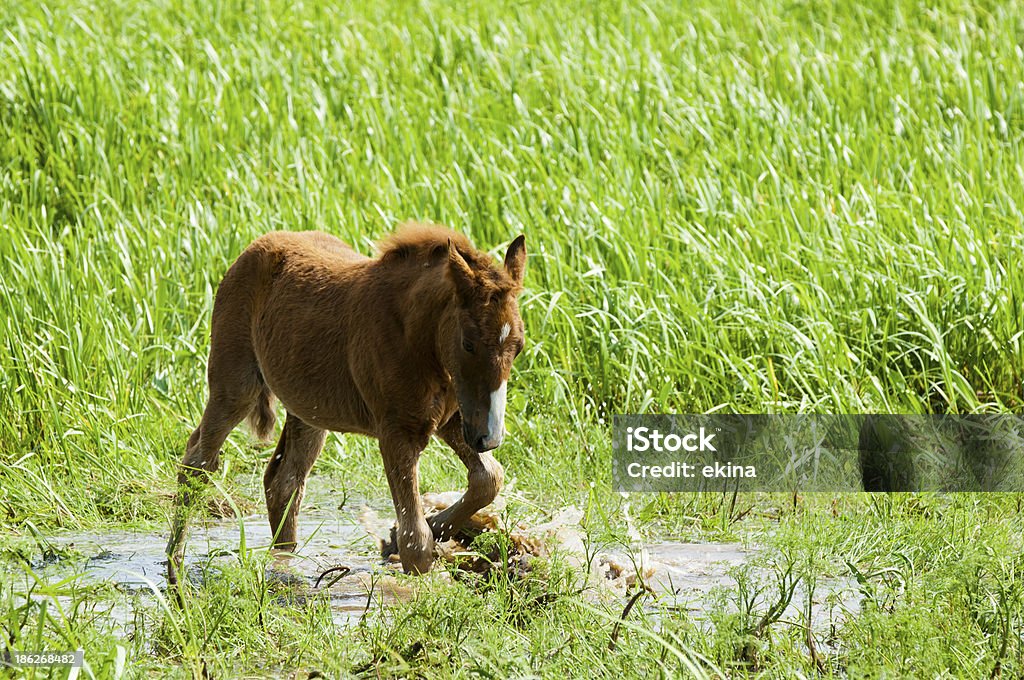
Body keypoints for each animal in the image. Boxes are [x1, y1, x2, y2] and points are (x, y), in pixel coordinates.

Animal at [165, 224, 528, 585]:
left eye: (519, 345)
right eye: (468, 343)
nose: (490, 438)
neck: (418, 338)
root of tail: (255, 246)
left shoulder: (452, 419)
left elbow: (488, 478)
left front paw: (412, 534)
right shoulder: (398, 431)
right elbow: (417, 544)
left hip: (308, 408)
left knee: (283, 482)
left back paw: (284, 565)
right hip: (235, 383)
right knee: (198, 462)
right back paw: (174, 569)